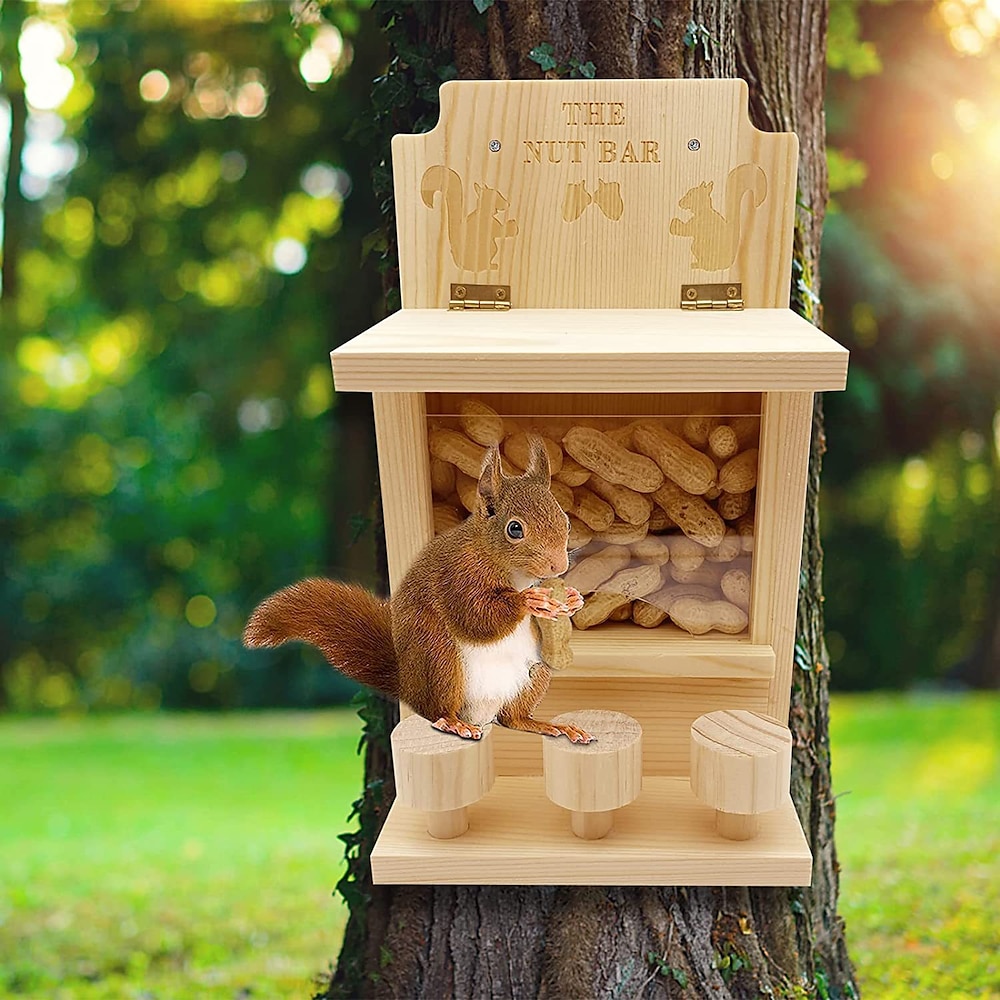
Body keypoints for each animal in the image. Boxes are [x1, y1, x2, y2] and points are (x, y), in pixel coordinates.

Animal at [244, 438, 592, 744]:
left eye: (566, 521)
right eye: (515, 529)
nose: (558, 565)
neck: (513, 571)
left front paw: (572, 599)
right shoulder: (457, 574)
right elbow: (476, 616)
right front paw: (528, 600)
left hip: (536, 673)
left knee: (513, 718)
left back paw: (549, 726)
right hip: (439, 661)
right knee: (437, 711)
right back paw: (453, 724)